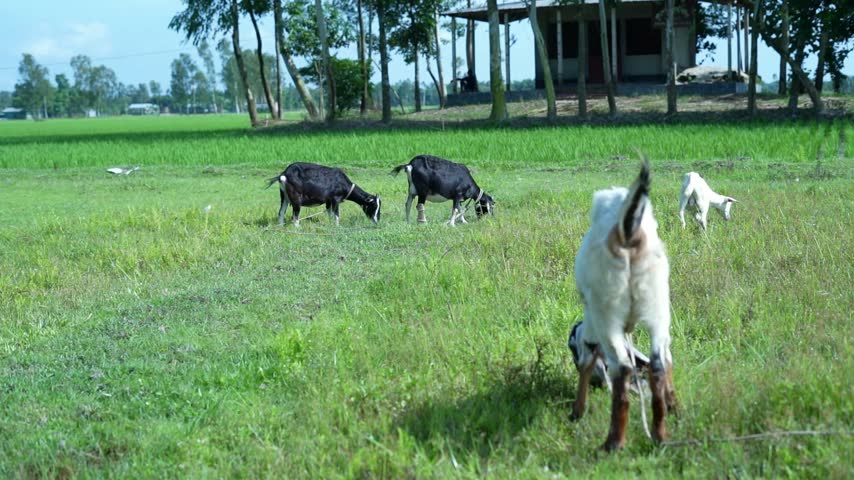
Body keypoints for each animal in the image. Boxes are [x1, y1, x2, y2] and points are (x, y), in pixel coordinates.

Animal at [571, 159, 677, 451]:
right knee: (658, 364)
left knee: (623, 370)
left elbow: (586, 367)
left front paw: (577, 411)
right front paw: (674, 404)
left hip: (608, 318)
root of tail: (627, 231)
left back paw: (613, 442)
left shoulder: (592, 333)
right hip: (657, 309)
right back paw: (660, 435)